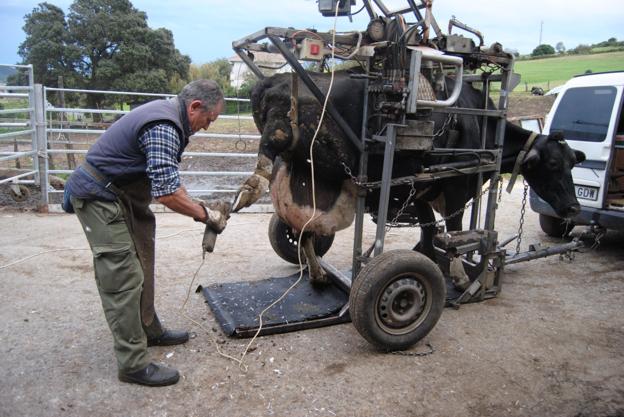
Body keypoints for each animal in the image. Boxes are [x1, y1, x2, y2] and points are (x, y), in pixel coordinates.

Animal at [233, 70, 584, 282]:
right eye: (554, 164)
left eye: (573, 163)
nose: (574, 208)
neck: (482, 123)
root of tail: (275, 79)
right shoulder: (456, 188)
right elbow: (454, 234)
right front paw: (458, 274)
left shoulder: (422, 192)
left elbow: (429, 230)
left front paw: (428, 258)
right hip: (289, 133)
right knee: (269, 150)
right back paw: (246, 192)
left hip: (308, 174)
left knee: (303, 230)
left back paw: (317, 273)